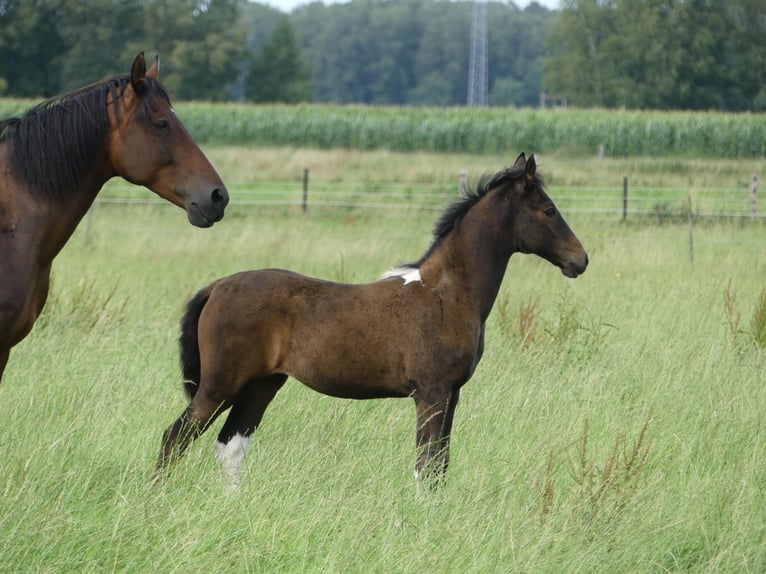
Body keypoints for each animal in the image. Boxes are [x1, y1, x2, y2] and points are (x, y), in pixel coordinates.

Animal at [154, 154, 588, 490]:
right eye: (548, 210)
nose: (580, 260)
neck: (446, 294)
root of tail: (218, 286)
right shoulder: (431, 392)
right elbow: (425, 466)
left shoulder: (452, 394)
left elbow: (440, 465)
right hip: (220, 385)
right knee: (174, 438)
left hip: (262, 386)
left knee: (230, 447)